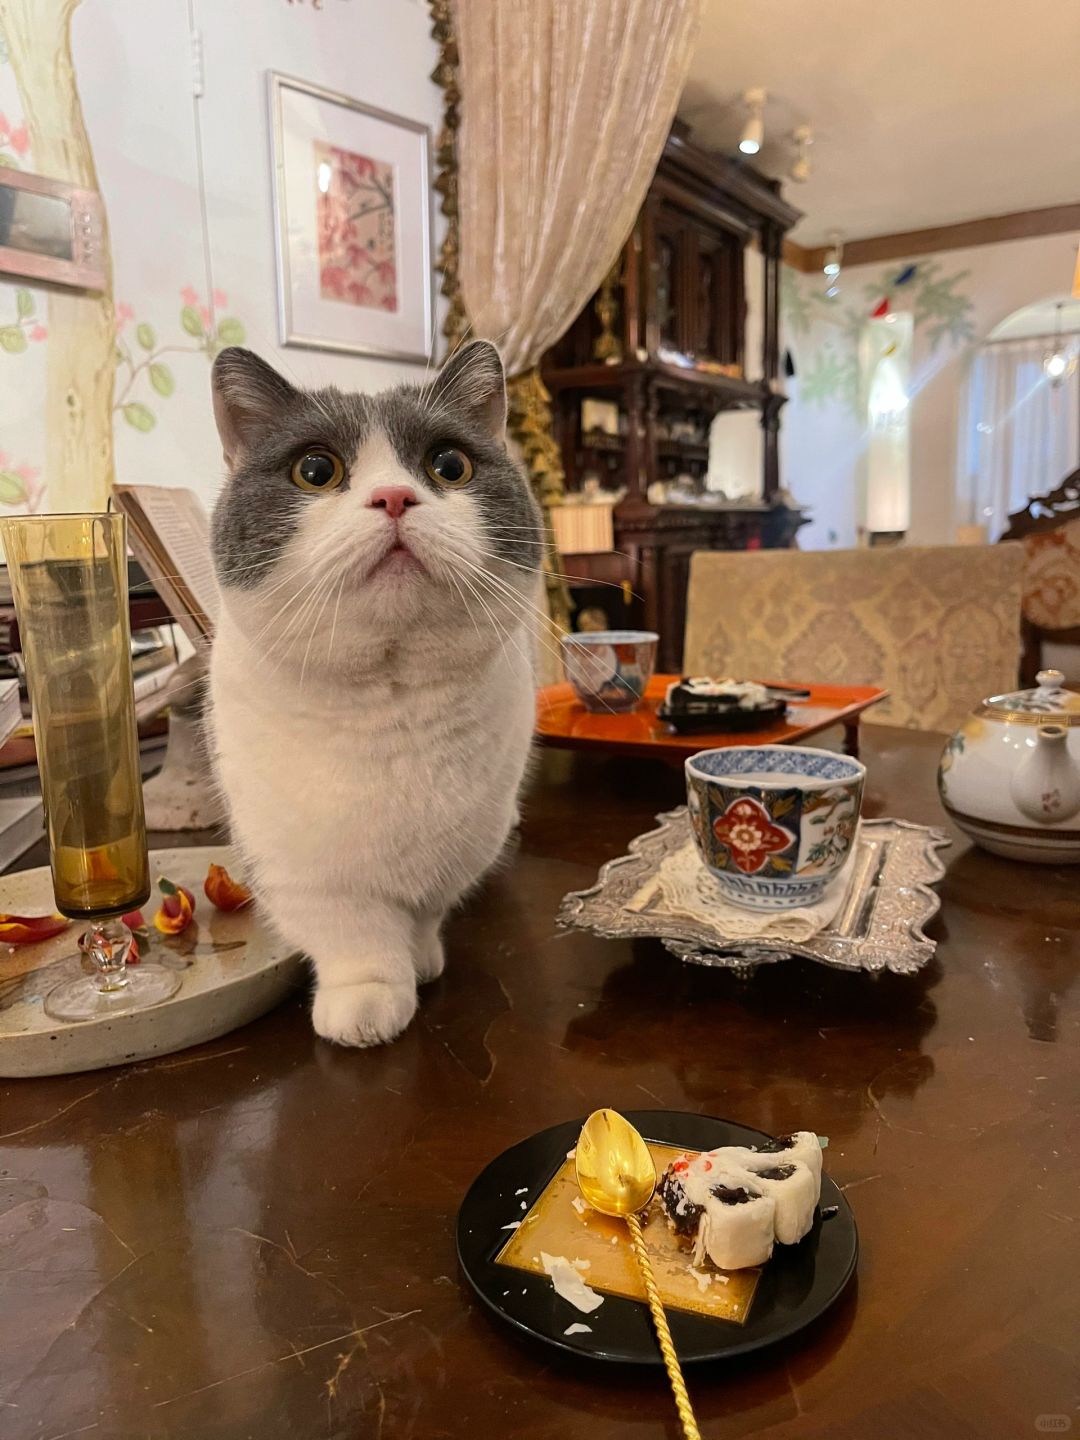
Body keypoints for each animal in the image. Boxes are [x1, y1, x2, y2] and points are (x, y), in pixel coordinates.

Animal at [207, 341, 543, 1047]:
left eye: (449, 465)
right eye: (315, 470)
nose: (393, 496)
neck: (393, 705)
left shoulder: (457, 850)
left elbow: (423, 915)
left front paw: (420, 958)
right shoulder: (303, 870)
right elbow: (354, 938)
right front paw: (367, 1002)